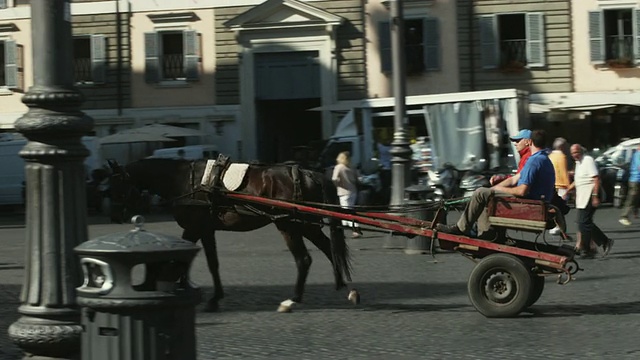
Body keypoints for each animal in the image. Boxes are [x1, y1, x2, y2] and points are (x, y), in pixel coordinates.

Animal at [111, 158, 360, 312]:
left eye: (117, 185)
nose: (116, 215)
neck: (182, 180)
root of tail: (306, 172)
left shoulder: (194, 227)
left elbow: (184, 259)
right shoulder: (206, 229)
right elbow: (212, 263)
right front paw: (210, 296)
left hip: (289, 225)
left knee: (304, 259)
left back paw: (292, 300)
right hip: (305, 225)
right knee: (329, 249)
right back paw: (347, 288)